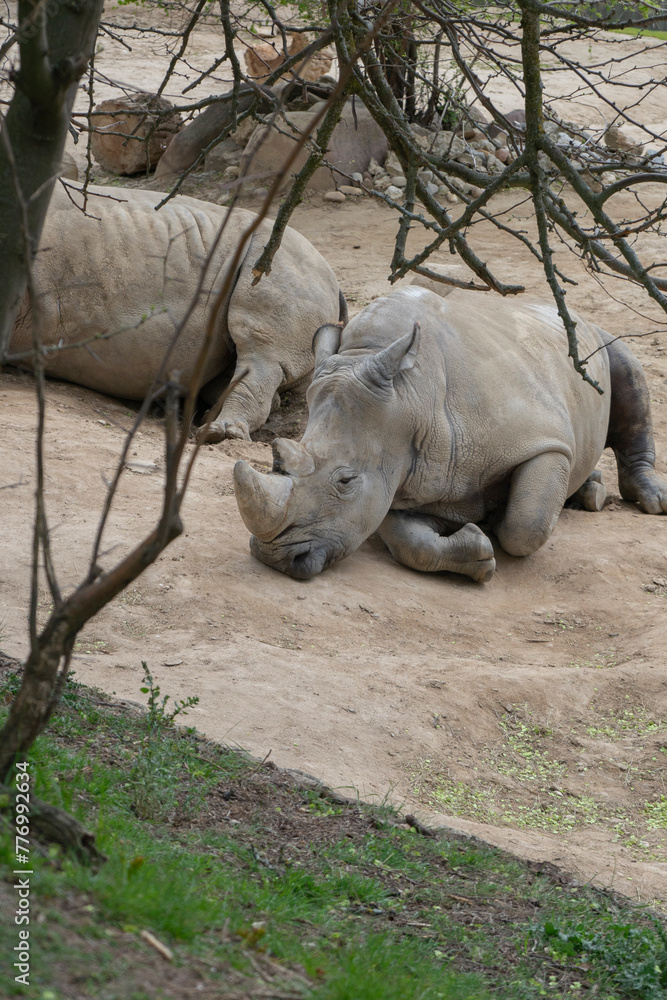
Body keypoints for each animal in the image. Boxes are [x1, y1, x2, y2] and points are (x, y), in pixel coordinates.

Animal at [234, 286, 667, 582]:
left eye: (346, 481)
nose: (275, 558)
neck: (413, 398)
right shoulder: (403, 472)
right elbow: (407, 540)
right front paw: (476, 553)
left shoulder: (546, 442)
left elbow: (526, 523)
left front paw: (496, 516)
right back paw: (588, 491)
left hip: (596, 337)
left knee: (627, 370)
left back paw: (647, 501)